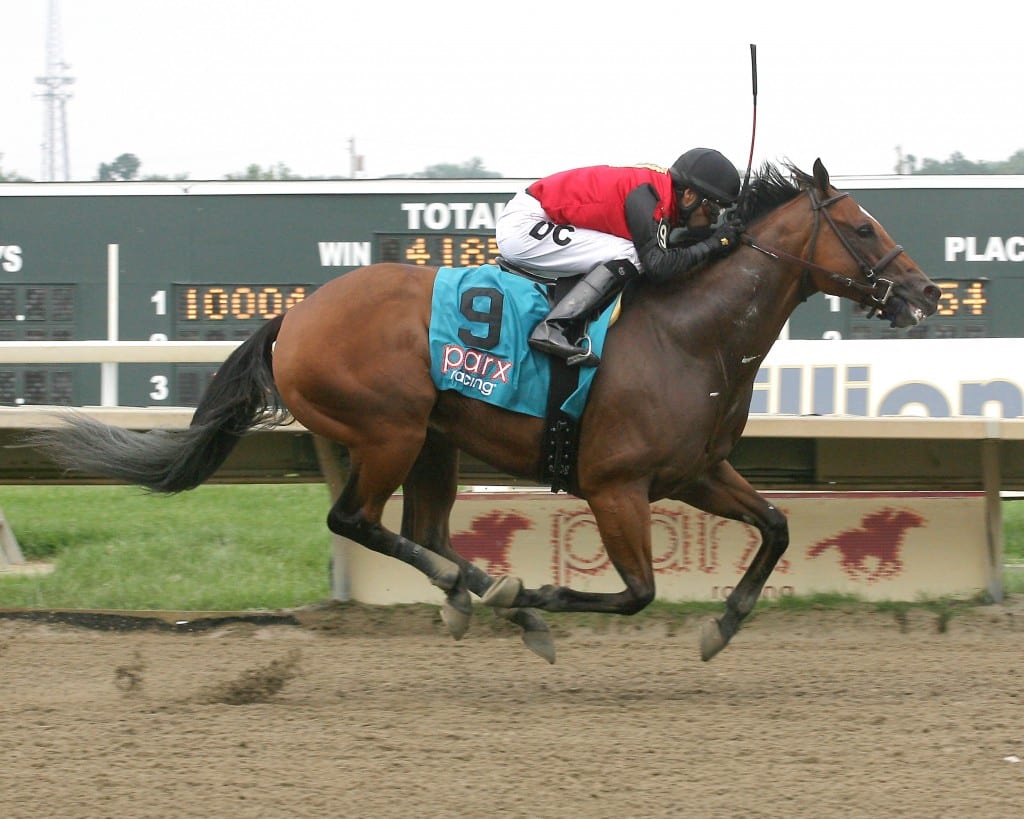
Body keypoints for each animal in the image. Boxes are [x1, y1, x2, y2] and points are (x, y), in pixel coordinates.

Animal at [32, 159, 937, 663]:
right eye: (862, 227)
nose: (927, 291)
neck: (692, 333)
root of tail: (293, 314)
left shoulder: (696, 472)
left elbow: (777, 526)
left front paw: (724, 624)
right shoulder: (615, 485)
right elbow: (637, 591)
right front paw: (546, 596)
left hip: (436, 438)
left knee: (422, 529)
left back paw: (485, 592)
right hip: (389, 431)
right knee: (356, 521)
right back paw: (500, 595)